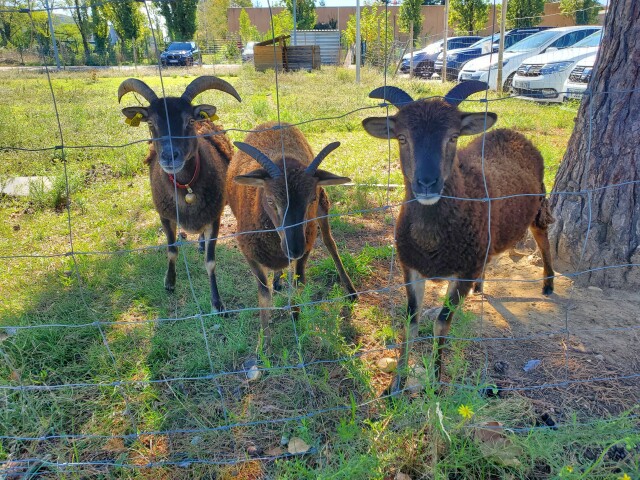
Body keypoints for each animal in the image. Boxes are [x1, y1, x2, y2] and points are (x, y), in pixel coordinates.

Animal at [118, 75, 242, 316]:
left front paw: (217, 303)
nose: (169, 157)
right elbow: (172, 251)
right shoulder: (165, 216)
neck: (186, 187)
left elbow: (210, 262)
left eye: (189, 120)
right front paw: (170, 282)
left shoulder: (214, 216)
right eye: (150, 123)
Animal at [228, 122, 358, 344]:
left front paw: (296, 318)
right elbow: (264, 295)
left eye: (311, 199)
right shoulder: (249, 252)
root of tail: (273, 122)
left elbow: (298, 282)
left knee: (330, 243)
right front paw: (265, 343)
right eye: (270, 200)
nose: (294, 248)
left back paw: (350, 290)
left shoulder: (308, 242)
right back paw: (278, 279)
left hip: (323, 209)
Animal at [360, 81, 556, 394]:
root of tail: (513, 133)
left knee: (543, 238)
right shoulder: (410, 268)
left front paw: (436, 381)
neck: (432, 243)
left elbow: (441, 324)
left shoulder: (462, 272)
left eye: (452, 137)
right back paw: (481, 285)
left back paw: (548, 284)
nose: (427, 183)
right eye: (402, 138)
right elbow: (411, 321)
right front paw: (395, 385)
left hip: (538, 202)